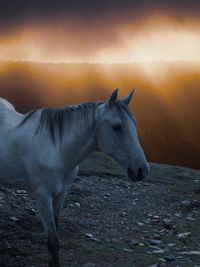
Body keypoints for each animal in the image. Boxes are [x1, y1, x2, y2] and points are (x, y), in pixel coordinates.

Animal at [0, 90, 149, 267]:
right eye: (117, 127)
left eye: (134, 124)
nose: (142, 170)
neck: (56, 150)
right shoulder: (43, 196)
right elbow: (52, 242)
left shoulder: (61, 194)